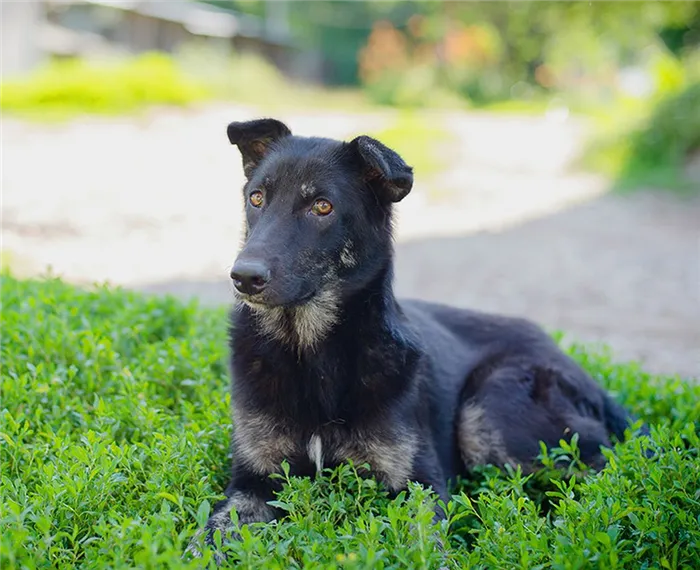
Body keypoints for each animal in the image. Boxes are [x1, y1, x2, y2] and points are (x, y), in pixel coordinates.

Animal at [186, 117, 640, 556]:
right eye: (256, 198)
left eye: (322, 206)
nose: (243, 277)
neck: (313, 351)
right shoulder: (252, 483)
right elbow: (209, 536)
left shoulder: (418, 486)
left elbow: (427, 546)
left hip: (489, 411)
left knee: (612, 462)